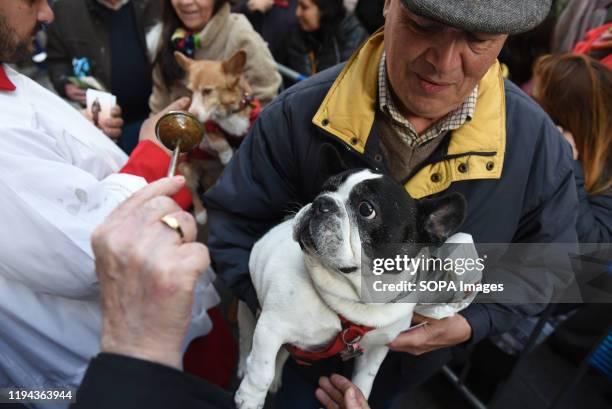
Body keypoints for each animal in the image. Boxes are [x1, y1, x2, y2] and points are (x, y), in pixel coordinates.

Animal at [235, 167, 468, 406]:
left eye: (366, 209)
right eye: (325, 187)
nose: (321, 202)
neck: (356, 300)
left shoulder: (375, 350)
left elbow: (364, 382)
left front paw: (355, 398)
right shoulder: (271, 327)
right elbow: (261, 371)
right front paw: (250, 399)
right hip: (247, 311)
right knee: (246, 340)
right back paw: (244, 367)